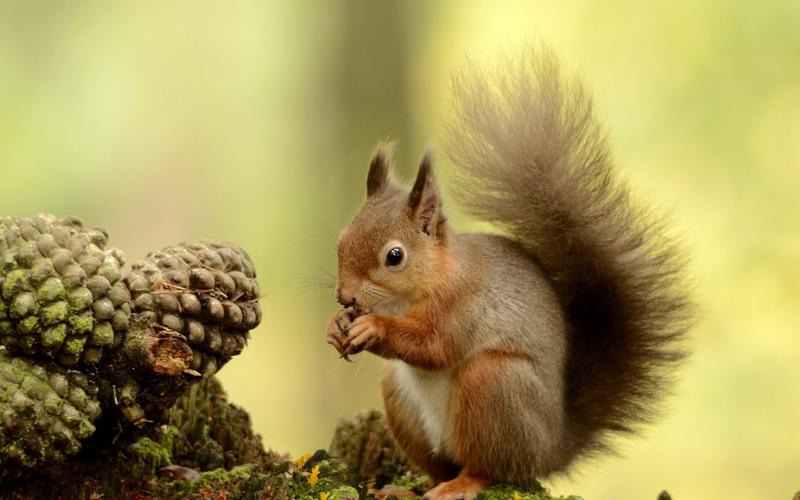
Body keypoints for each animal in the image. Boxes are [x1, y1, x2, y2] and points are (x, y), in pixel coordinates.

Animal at [324, 45, 692, 498]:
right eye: (341, 240)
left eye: (394, 256)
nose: (345, 297)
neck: (413, 293)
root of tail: (552, 448)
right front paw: (335, 325)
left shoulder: (464, 303)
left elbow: (436, 345)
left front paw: (373, 327)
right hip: (400, 397)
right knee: (438, 465)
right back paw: (408, 488)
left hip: (494, 385)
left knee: (492, 467)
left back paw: (461, 485)